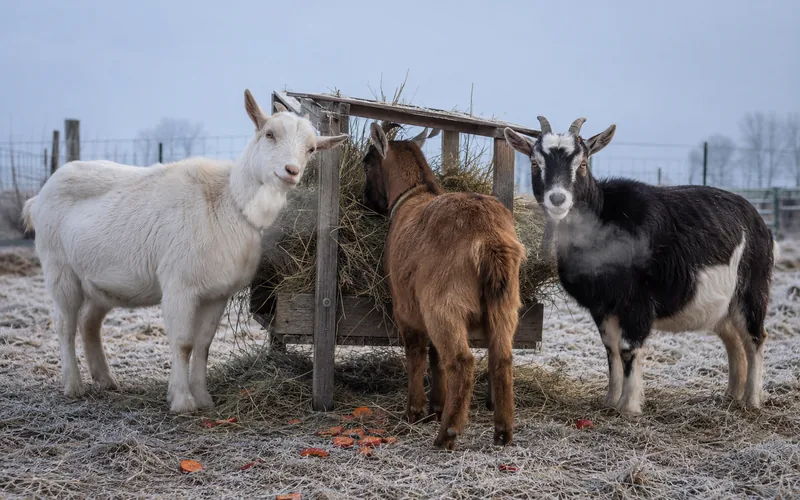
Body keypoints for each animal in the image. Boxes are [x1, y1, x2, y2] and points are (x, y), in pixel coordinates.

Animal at [22, 90, 348, 413]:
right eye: (269, 134)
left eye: (311, 149)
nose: (291, 171)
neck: (229, 202)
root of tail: (37, 198)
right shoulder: (179, 285)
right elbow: (182, 343)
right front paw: (181, 401)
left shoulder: (217, 293)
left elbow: (203, 344)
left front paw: (203, 398)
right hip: (58, 267)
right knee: (65, 324)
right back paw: (73, 385)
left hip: (100, 282)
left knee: (89, 322)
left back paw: (105, 380)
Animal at [362, 122, 526, 449]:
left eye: (367, 164)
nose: (364, 201)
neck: (415, 195)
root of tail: (488, 238)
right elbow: (436, 357)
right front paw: (436, 405)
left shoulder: (406, 308)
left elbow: (417, 352)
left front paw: (415, 411)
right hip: (505, 303)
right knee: (501, 358)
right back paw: (502, 431)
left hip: (444, 304)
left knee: (461, 361)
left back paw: (447, 433)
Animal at [504, 117, 774, 415]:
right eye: (534, 163)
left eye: (583, 163)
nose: (557, 199)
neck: (604, 218)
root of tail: (758, 219)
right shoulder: (602, 305)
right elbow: (610, 349)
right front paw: (610, 400)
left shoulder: (637, 302)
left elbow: (627, 349)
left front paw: (629, 407)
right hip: (722, 307)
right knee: (734, 341)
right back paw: (731, 396)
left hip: (751, 289)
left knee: (755, 337)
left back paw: (752, 400)